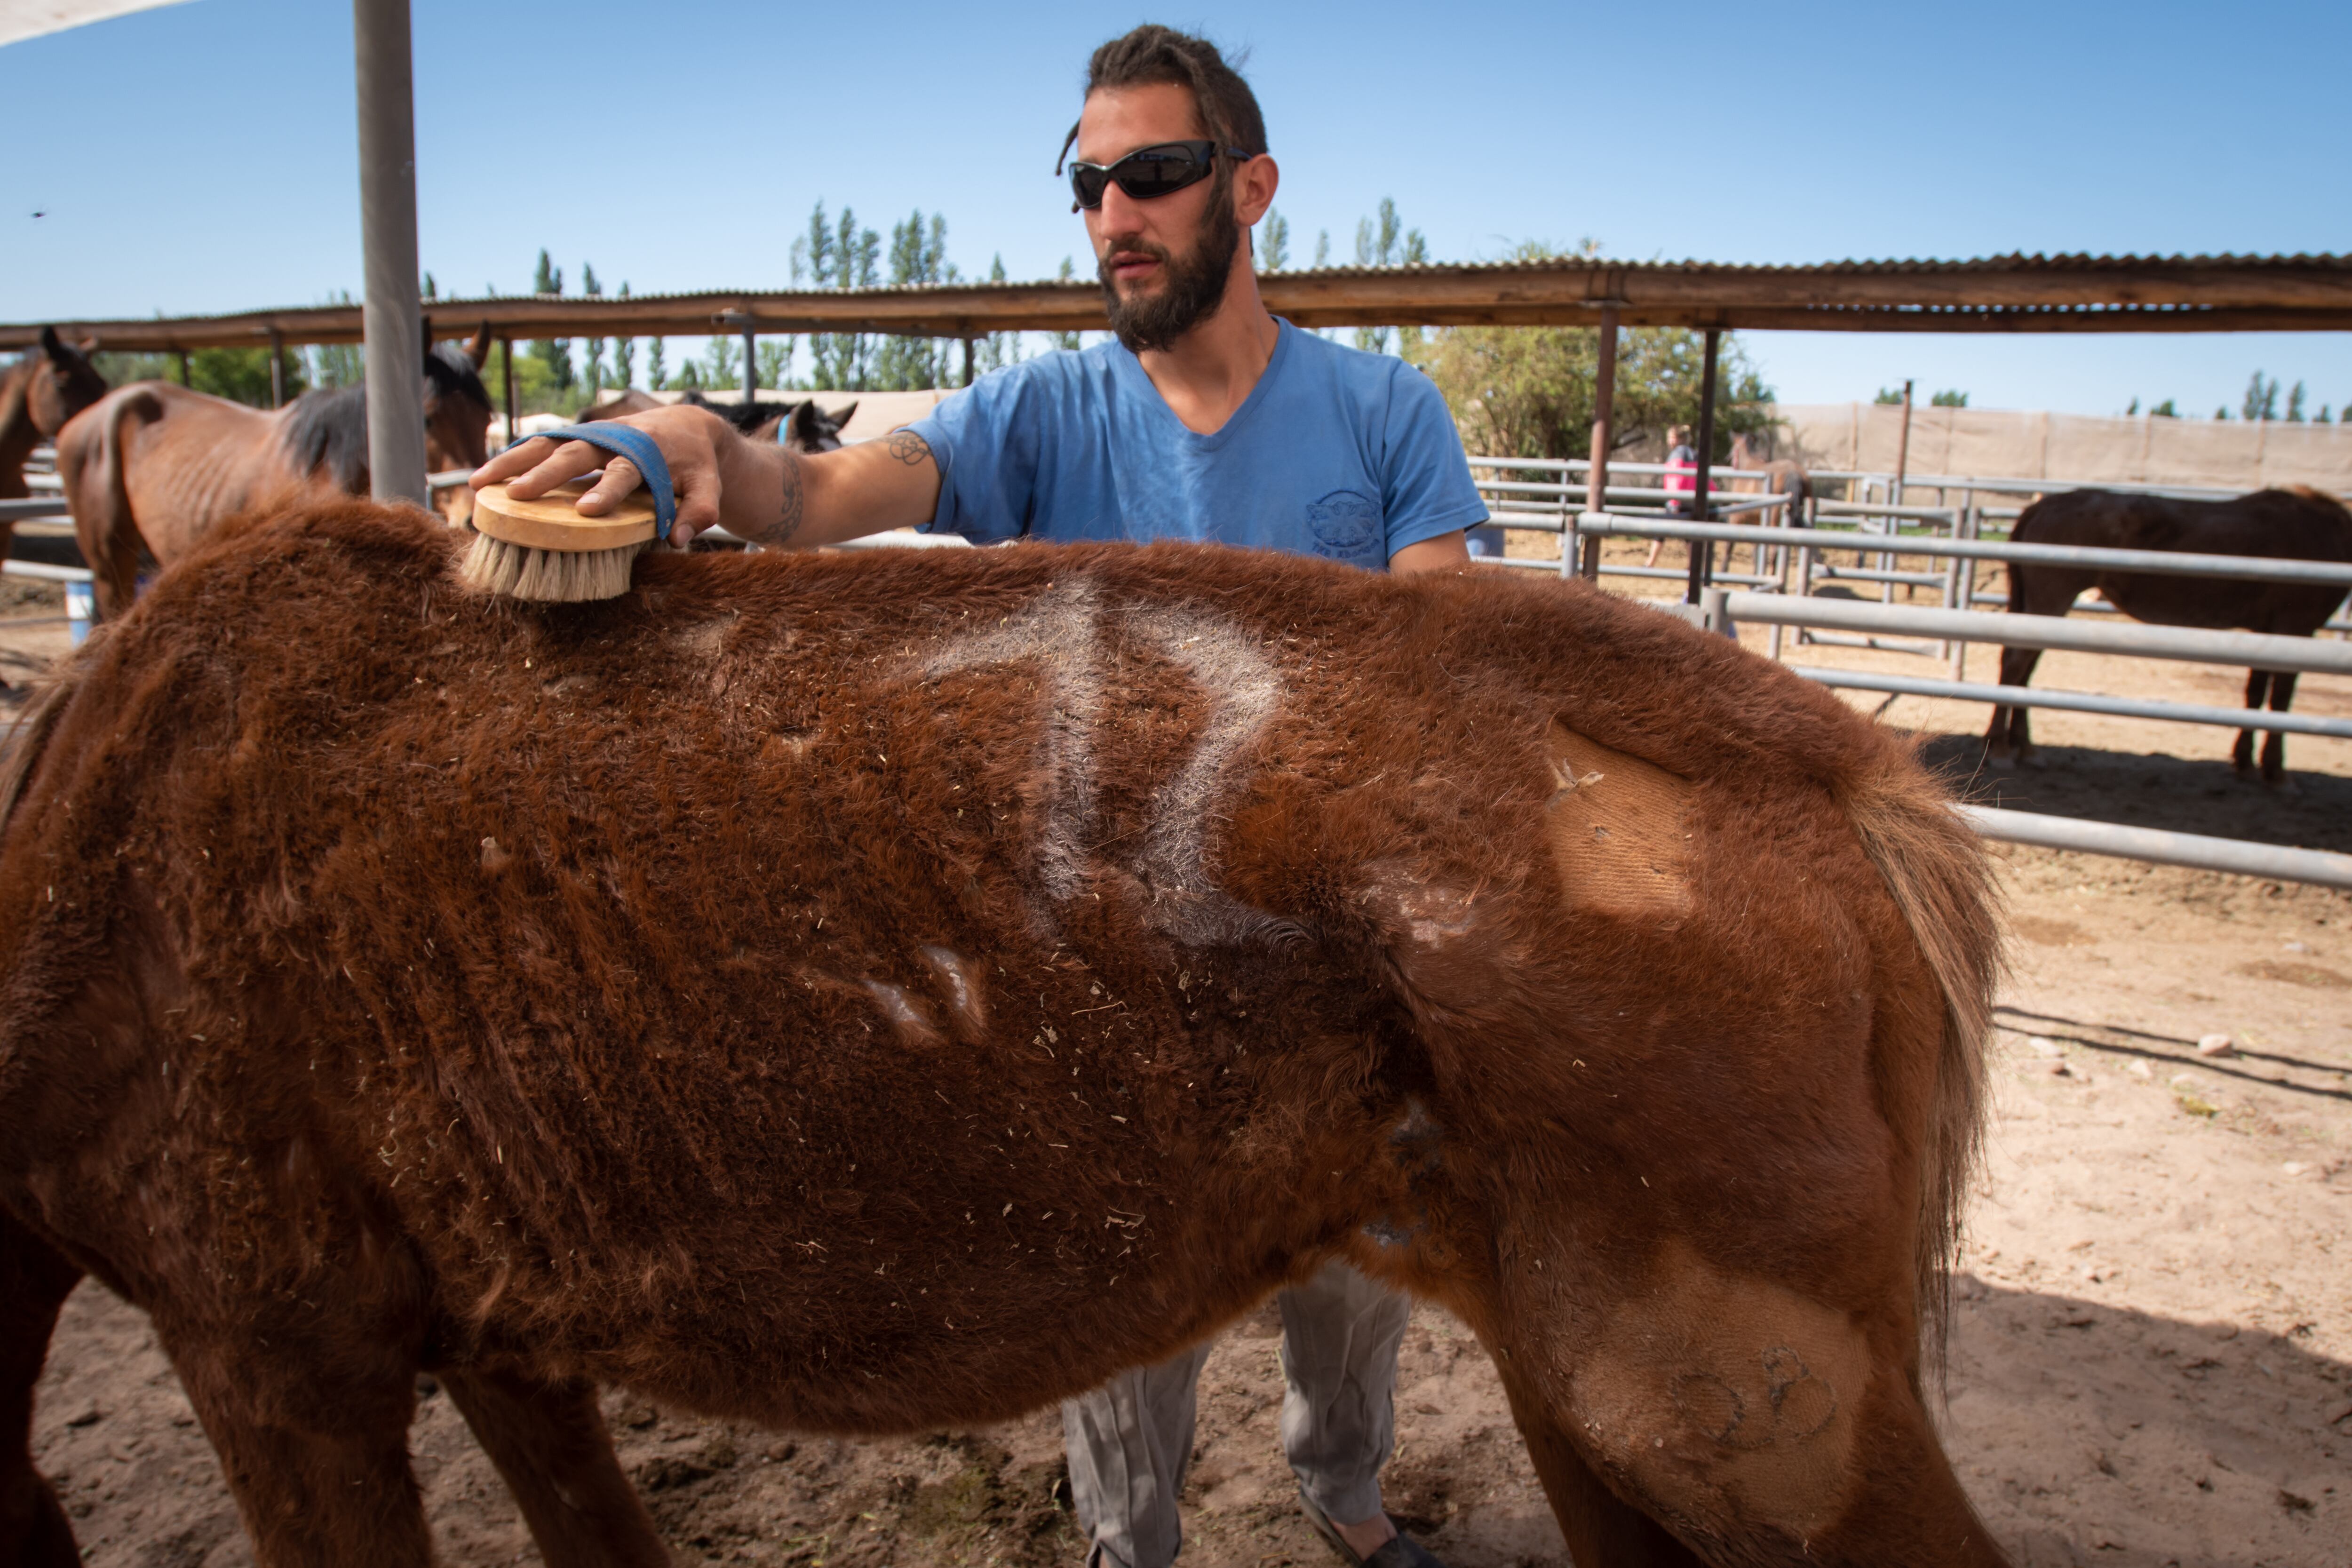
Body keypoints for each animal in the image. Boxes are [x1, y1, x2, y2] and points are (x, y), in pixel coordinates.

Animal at [1985, 484, 2352, 785]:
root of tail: (2039, 506)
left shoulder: (2268, 631)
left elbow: (2256, 694)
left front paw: (2246, 763)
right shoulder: (2296, 625)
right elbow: (2280, 701)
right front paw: (2275, 772)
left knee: (2024, 669)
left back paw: (2025, 748)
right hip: (2052, 598)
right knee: (2016, 664)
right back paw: (2001, 749)